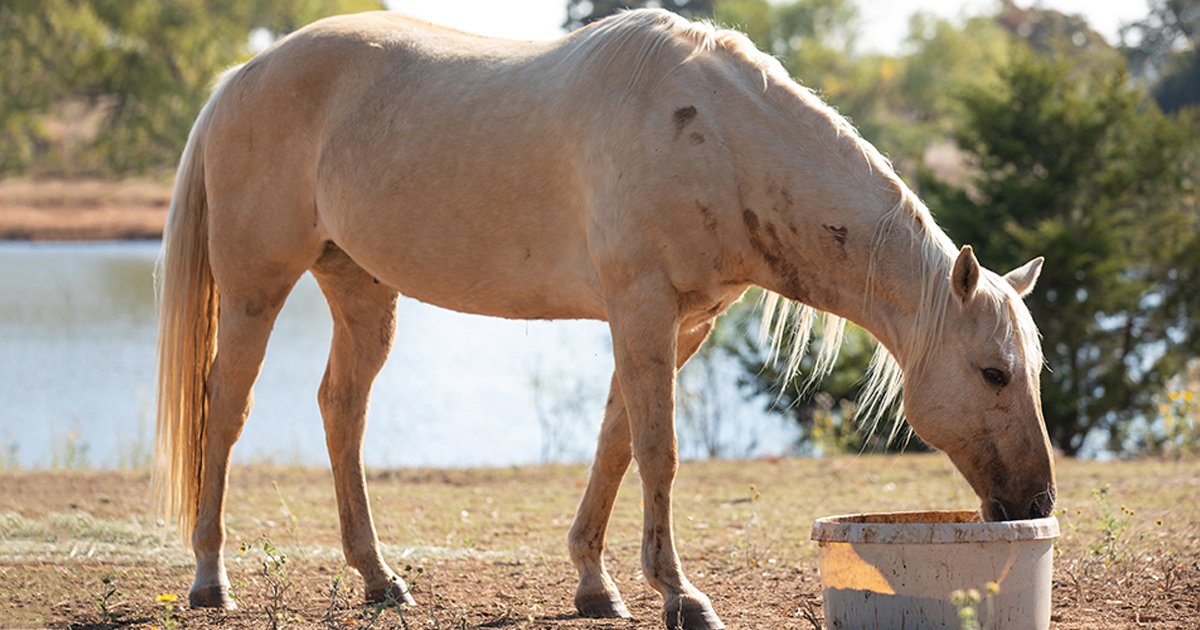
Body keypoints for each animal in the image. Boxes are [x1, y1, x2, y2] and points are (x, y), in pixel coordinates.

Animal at [154, 9, 1056, 629]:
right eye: (993, 372)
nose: (1036, 500)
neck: (715, 136)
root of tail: (240, 77)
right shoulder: (640, 307)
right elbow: (659, 453)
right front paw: (680, 595)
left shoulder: (678, 324)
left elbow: (617, 443)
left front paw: (597, 584)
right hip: (256, 288)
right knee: (225, 410)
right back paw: (209, 579)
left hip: (361, 290)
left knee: (342, 410)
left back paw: (380, 580)